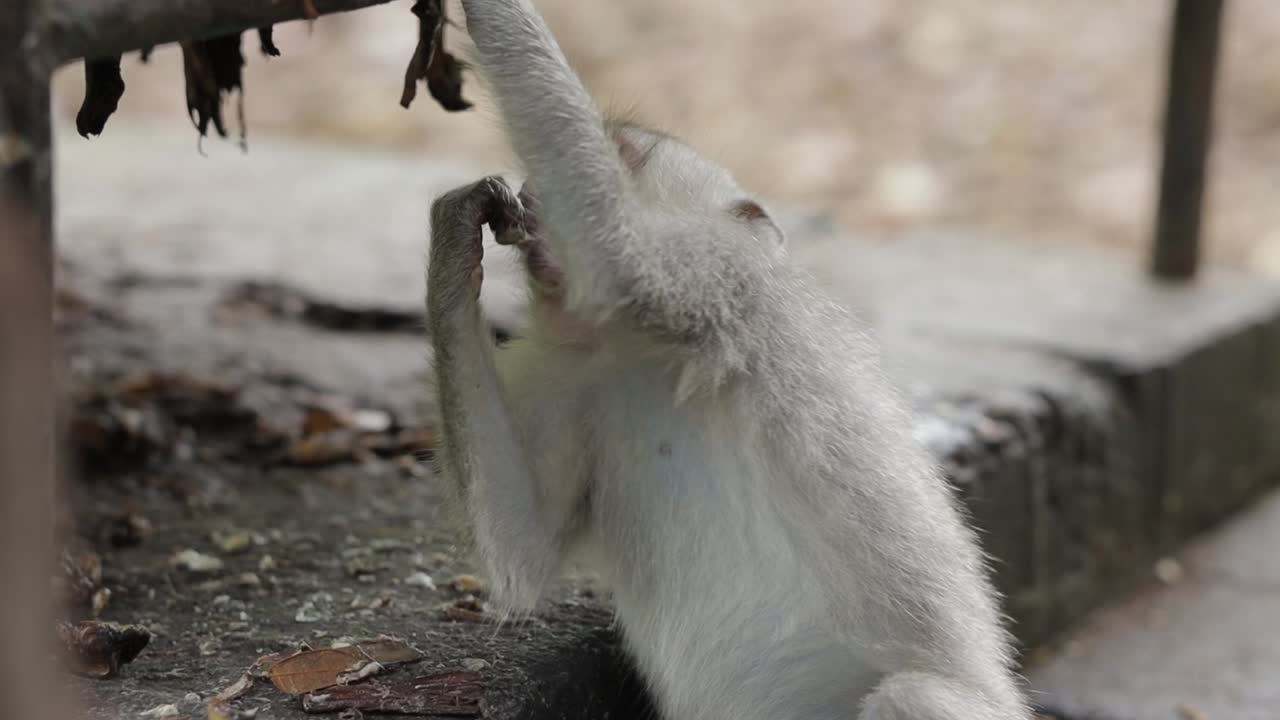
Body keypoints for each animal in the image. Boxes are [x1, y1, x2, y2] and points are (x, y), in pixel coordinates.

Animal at [424, 1, 1033, 718]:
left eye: (624, 155)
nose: (533, 196)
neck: (630, 348)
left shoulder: (720, 273)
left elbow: (625, 260)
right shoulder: (567, 369)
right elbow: (525, 547)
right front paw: (455, 233)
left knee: (913, 695)